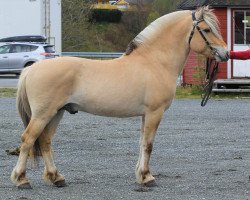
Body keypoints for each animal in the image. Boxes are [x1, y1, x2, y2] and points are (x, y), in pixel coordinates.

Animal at [11, 5, 229, 188]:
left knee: (45, 141)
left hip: (56, 113)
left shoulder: (146, 115)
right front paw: (147, 177)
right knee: (28, 140)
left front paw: (141, 175)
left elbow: (142, 143)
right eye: (207, 30)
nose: (225, 53)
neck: (155, 62)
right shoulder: (155, 112)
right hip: (43, 114)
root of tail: (32, 69)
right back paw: (22, 180)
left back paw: (56, 178)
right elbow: (149, 145)